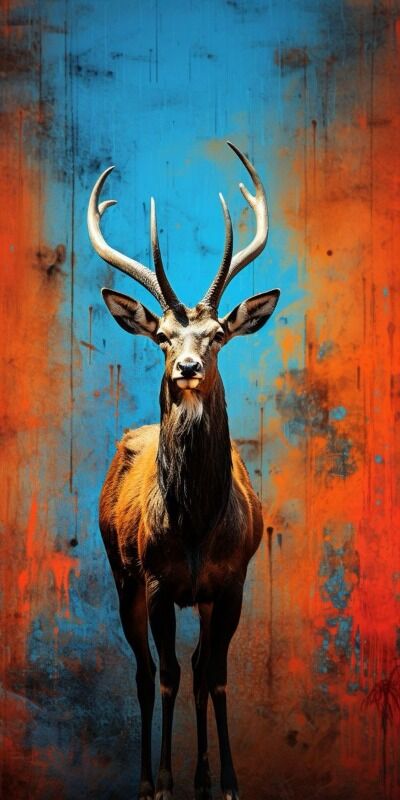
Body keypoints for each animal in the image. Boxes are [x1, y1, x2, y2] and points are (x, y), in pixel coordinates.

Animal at [87, 141, 280, 800]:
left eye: (217, 333)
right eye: (163, 337)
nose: (188, 368)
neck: (195, 527)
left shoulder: (232, 580)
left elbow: (214, 675)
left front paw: (225, 781)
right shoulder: (155, 581)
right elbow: (167, 674)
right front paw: (167, 780)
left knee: (195, 670)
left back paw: (198, 775)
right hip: (120, 574)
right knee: (147, 673)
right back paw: (150, 779)